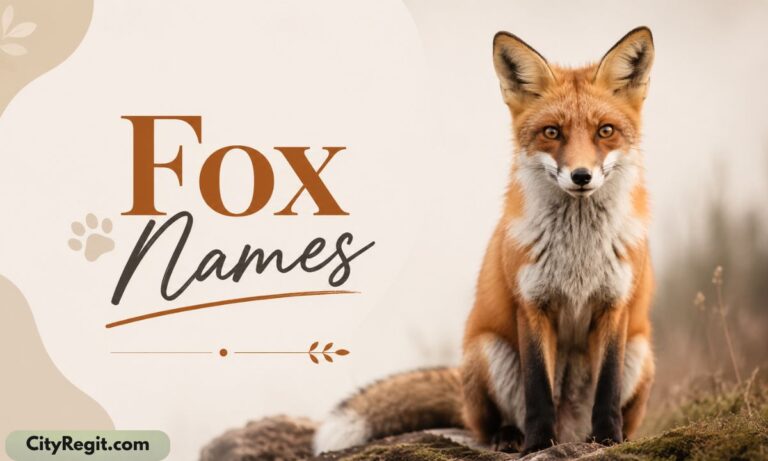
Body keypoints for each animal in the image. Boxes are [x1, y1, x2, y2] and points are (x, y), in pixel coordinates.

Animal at [313, 26, 656, 455]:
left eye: (605, 131)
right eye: (552, 132)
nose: (581, 176)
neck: (578, 254)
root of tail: (571, 430)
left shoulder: (615, 305)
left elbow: (607, 388)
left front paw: (609, 439)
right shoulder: (531, 304)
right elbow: (538, 390)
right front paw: (537, 445)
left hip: (641, 352)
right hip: (488, 351)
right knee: (490, 422)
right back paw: (510, 437)